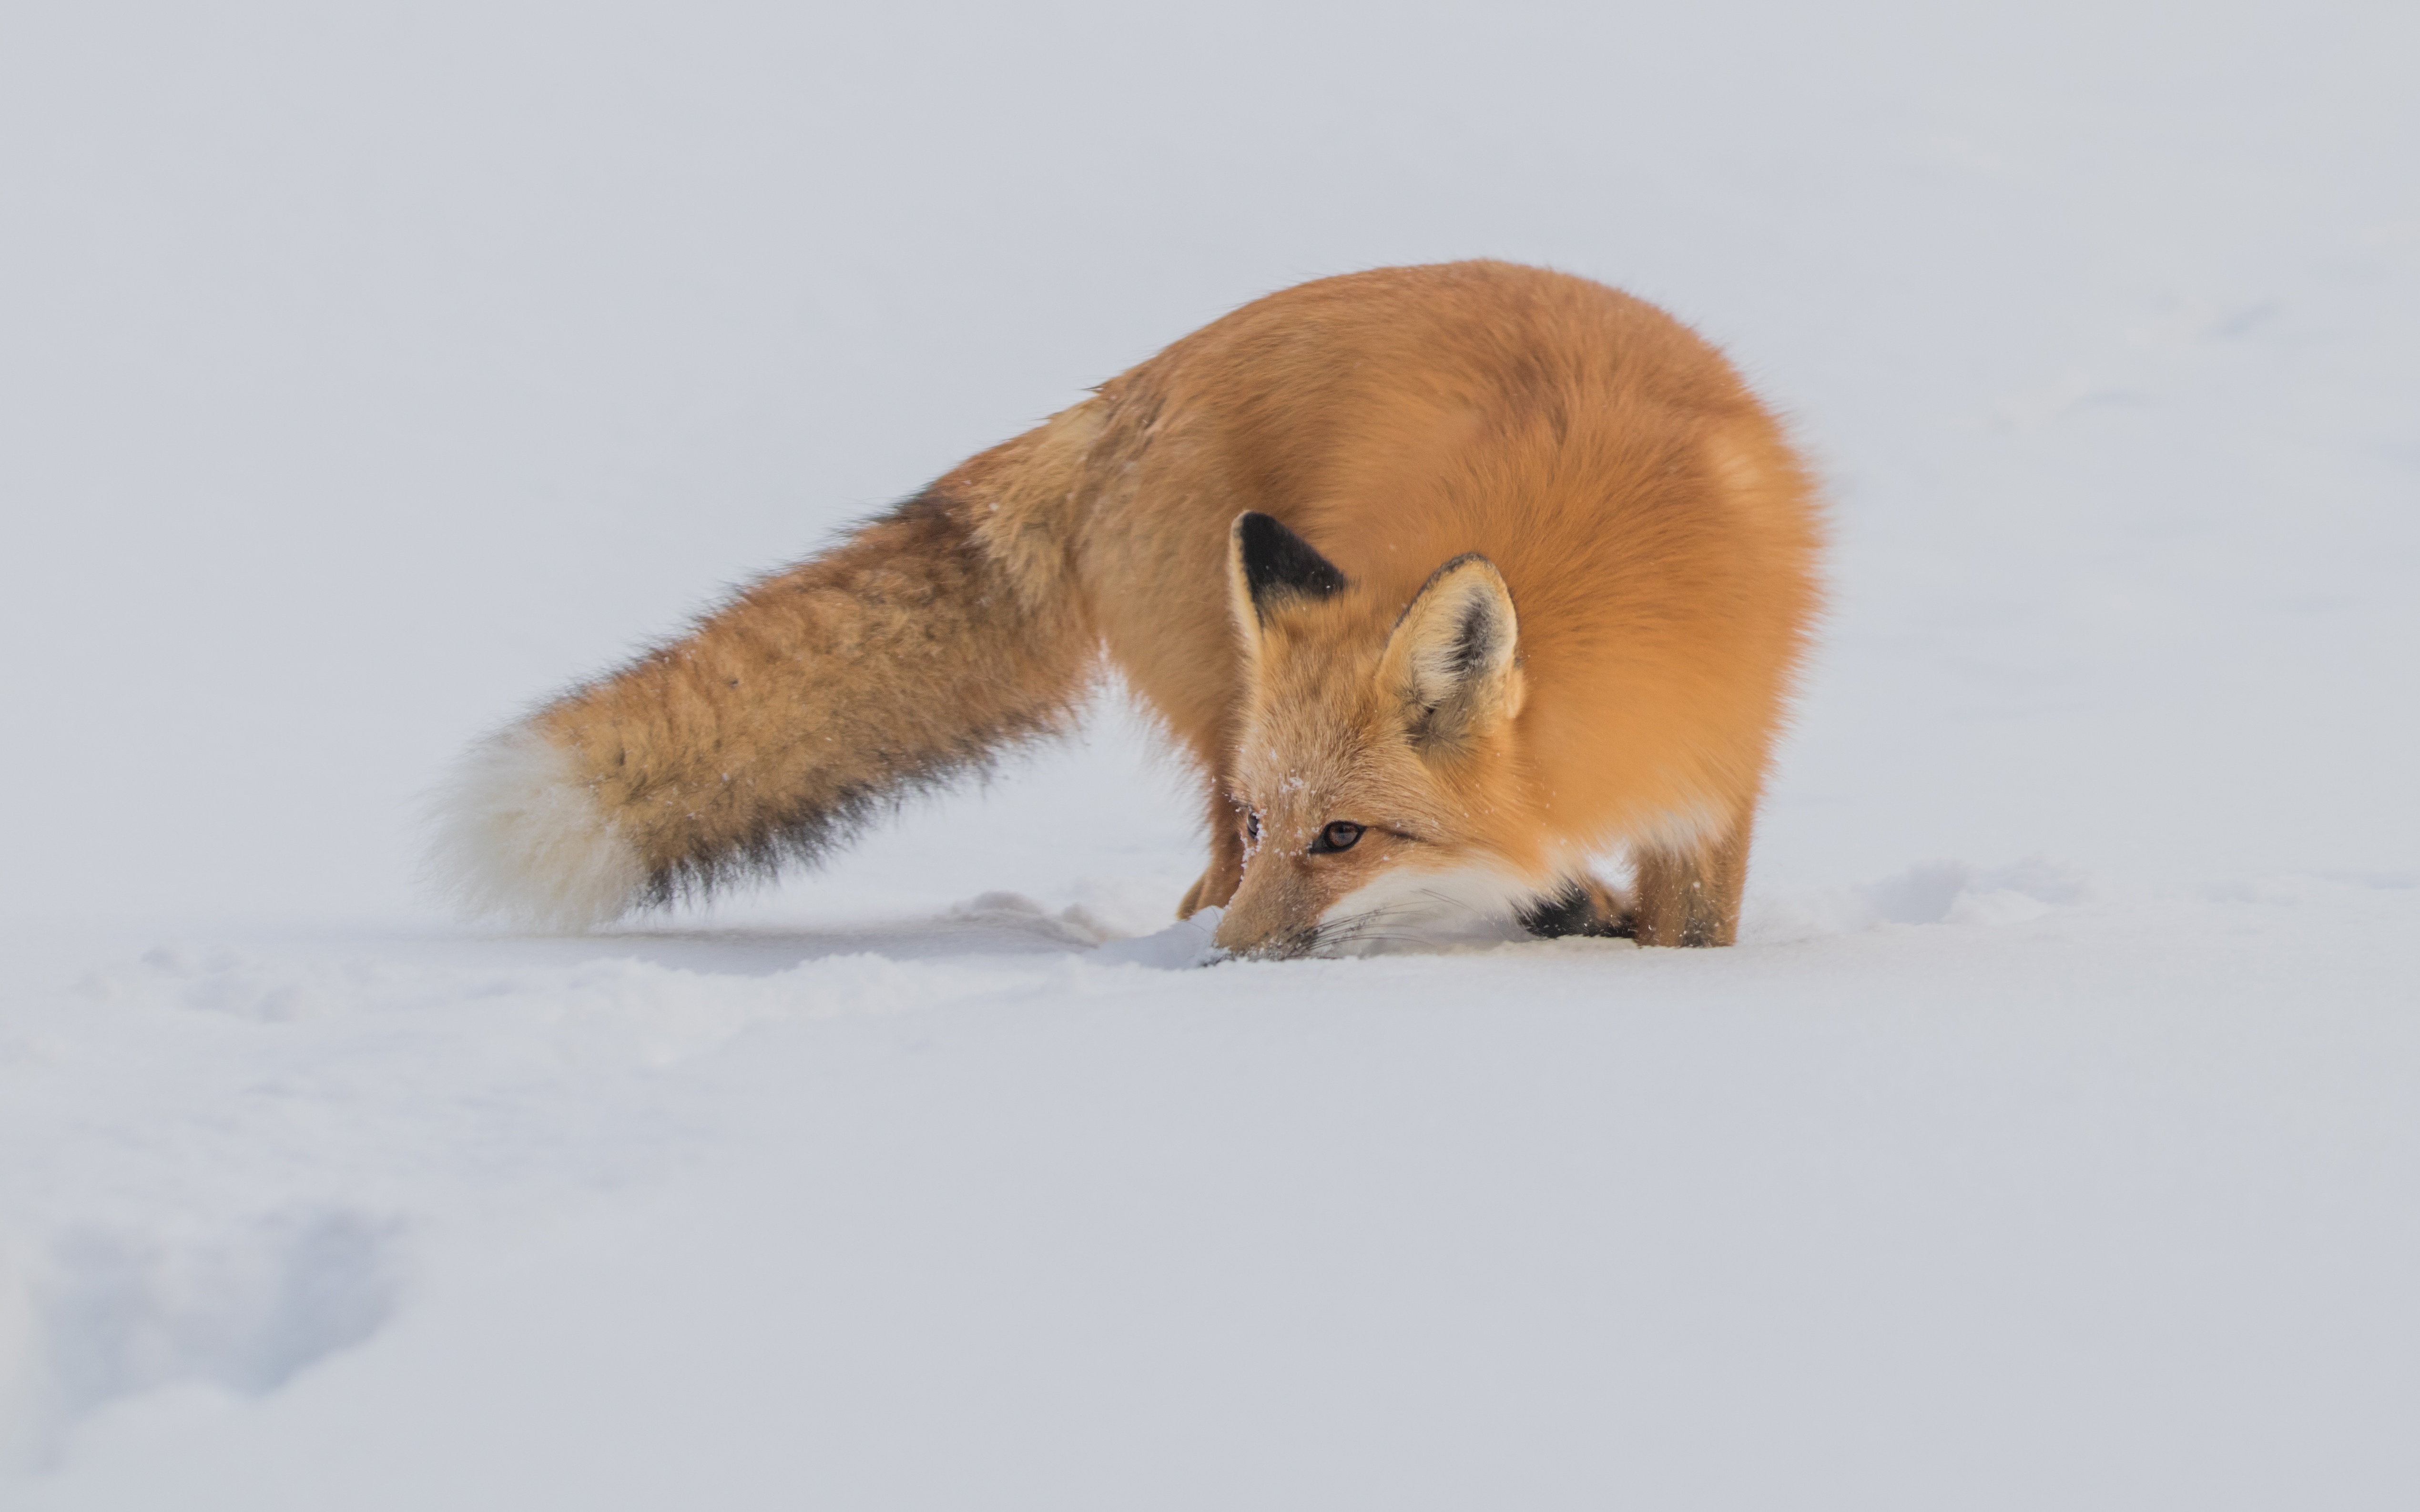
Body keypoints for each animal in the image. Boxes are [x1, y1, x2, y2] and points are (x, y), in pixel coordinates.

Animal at [440, 261, 1829, 953]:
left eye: (1345, 836)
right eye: (1283, 825)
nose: (1229, 963)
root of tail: (1121, 392)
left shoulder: (1718, 773)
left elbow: (1689, 932)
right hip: (1219, 715)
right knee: (1195, 866)